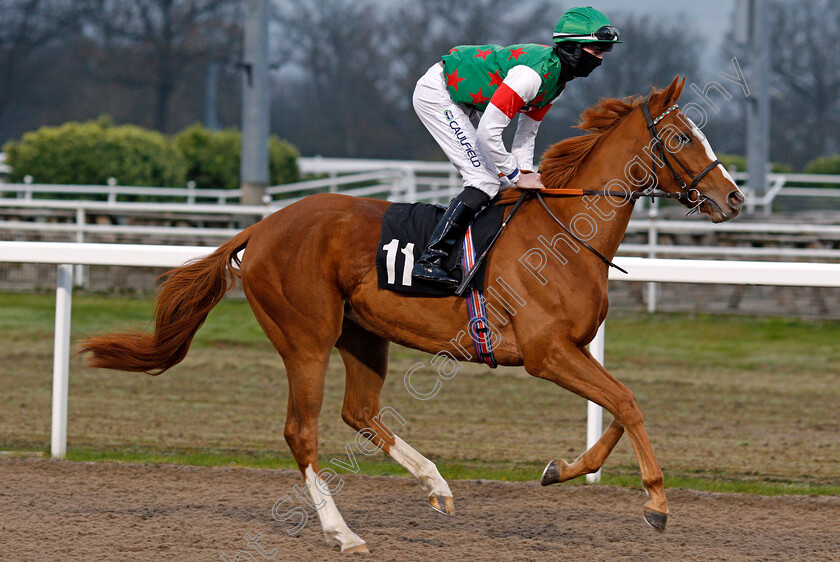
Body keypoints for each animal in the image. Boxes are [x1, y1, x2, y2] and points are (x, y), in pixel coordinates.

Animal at [82, 76, 744, 552]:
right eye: (682, 139)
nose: (733, 198)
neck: (566, 232)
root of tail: (261, 227)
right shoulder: (546, 353)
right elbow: (626, 402)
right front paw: (656, 504)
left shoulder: (572, 349)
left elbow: (620, 406)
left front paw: (560, 469)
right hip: (306, 338)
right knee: (303, 431)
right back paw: (342, 533)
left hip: (361, 335)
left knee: (359, 413)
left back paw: (436, 484)